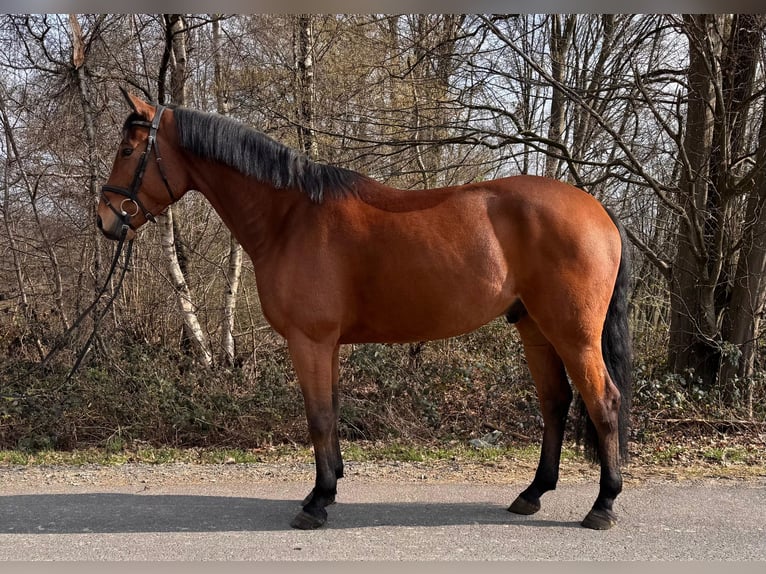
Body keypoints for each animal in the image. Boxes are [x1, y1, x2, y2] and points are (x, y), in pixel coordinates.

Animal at [97, 89, 632, 531]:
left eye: (127, 151)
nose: (105, 219)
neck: (289, 218)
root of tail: (598, 210)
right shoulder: (328, 344)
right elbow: (331, 411)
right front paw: (328, 488)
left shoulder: (309, 340)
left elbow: (318, 417)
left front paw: (316, 503)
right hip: (535, 328)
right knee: (555, 402)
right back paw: (533, 493)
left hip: (574, 333)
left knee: (604, 402)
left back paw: (603, 506)